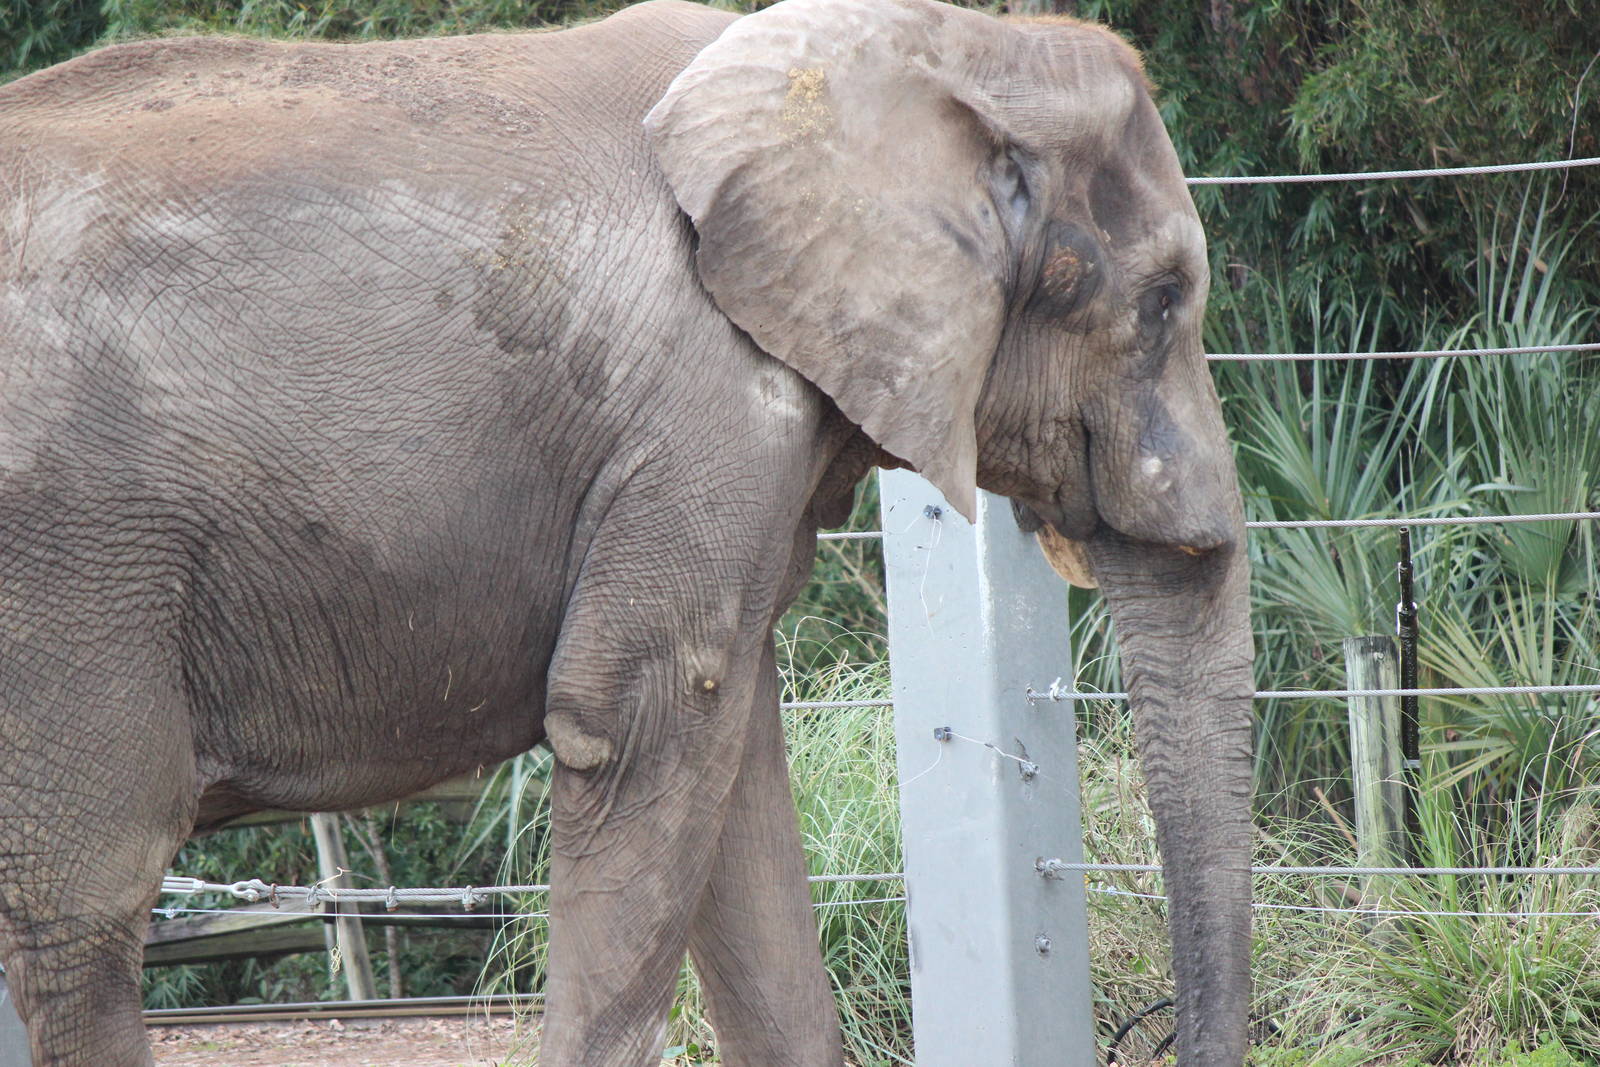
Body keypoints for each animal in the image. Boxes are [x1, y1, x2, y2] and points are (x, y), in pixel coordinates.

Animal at [0, 0, 1255, 1063]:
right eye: (1162, 299)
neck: (950, 43)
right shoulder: (702, 406)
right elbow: (639, 718)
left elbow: (737, 781)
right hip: (72, 562)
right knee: (86, 897)